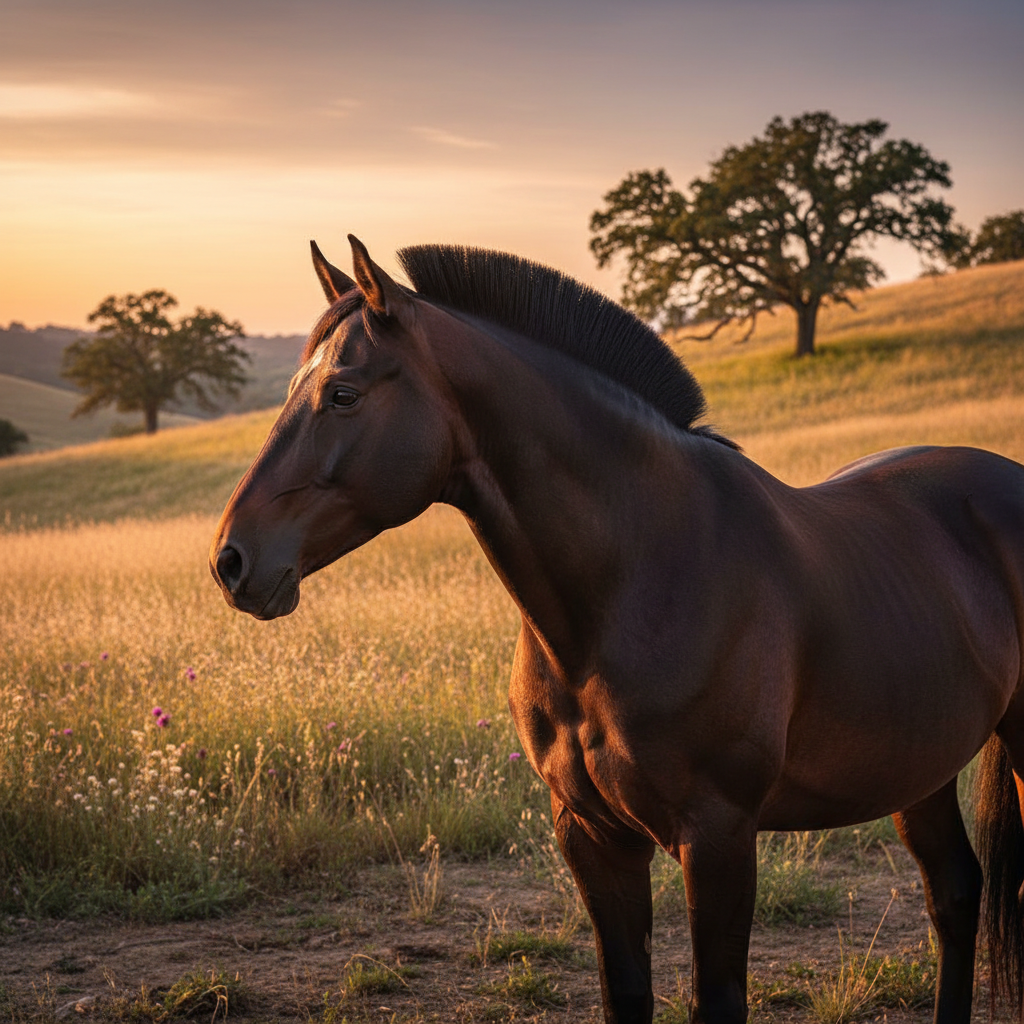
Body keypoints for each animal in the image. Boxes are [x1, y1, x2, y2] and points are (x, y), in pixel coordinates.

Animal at [210, 235, 1024, 1024]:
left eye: (342, 393)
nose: (232, 560)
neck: (637, 580)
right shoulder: (592, 834)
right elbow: (624, 989)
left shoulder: (719, 837)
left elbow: (717, 1000)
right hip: (917, 766)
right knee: (955, 893)